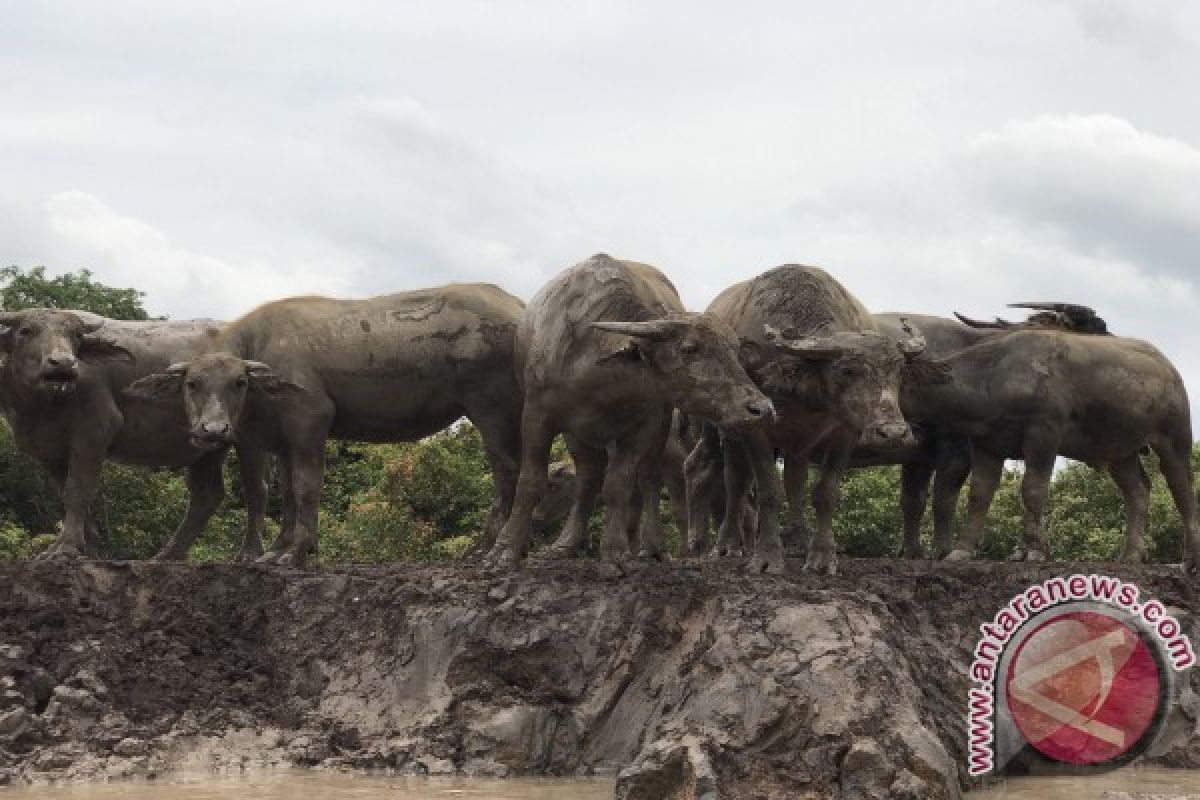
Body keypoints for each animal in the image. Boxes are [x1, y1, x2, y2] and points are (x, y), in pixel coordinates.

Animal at [0, 309, 231, 561]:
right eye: (25, 331)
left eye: (76, 336)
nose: (63, 363)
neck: (42, 406)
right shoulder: (50, 453)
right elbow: (66, 493)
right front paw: (88, 549)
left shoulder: (94, 432)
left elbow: (78, 490)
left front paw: (67, 547)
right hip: (207, 448)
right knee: (206, 495)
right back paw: (169, 554)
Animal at [129, 284, 528, 566]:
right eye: (192, 384)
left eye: (238, 382)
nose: (213, 431)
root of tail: (518, 310)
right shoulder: (282, 441)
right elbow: (288, 493)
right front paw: (278, 550)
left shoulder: (311, 421)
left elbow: (307, 487)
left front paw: (297, 551)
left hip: (489, 408)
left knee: (507, 470)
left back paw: (485, 548)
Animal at [482, 253, 772, 573]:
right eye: (689, 348)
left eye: (735, 349)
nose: (760, 408)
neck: (594, 369)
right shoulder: (537, 416)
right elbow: (530, 481)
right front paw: (505, 550)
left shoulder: (642, 427)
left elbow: (618, 486)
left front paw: (615, 554)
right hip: (577, 434)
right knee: (588, 477)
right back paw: (566, 544)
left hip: (658, 430)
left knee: (647, 480)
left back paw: (651, 548)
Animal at [696, 267, 945, 575]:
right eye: (846, 370)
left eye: (898, 372)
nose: (894, 433)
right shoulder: (756, 430)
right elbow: (768, 490)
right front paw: (767, 556)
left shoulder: (846, 433)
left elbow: (824, 492)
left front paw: (822, 556)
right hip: (727, 433)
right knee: (736, 480)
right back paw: (728, 545)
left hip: (799, 442)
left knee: (794, 479)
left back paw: (799, 540)